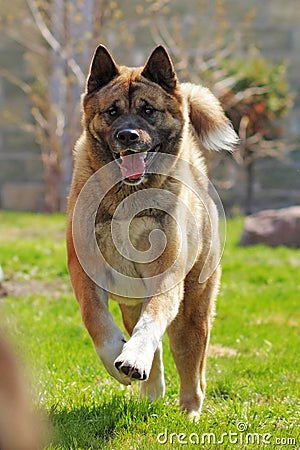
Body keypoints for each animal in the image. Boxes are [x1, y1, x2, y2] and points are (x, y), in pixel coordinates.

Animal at [67, 44, 238, 420]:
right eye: (112, 111)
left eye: (148, 110)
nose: (127, 136)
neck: (127, 194)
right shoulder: (85, 272)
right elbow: (94, 318)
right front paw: (118, 360)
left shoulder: (166, 276)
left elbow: (154, 321)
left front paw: (131, 358)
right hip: (132, 303)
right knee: (153, 346)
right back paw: (151, 390)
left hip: (192, 313)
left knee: (191, 368)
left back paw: (189, 411)